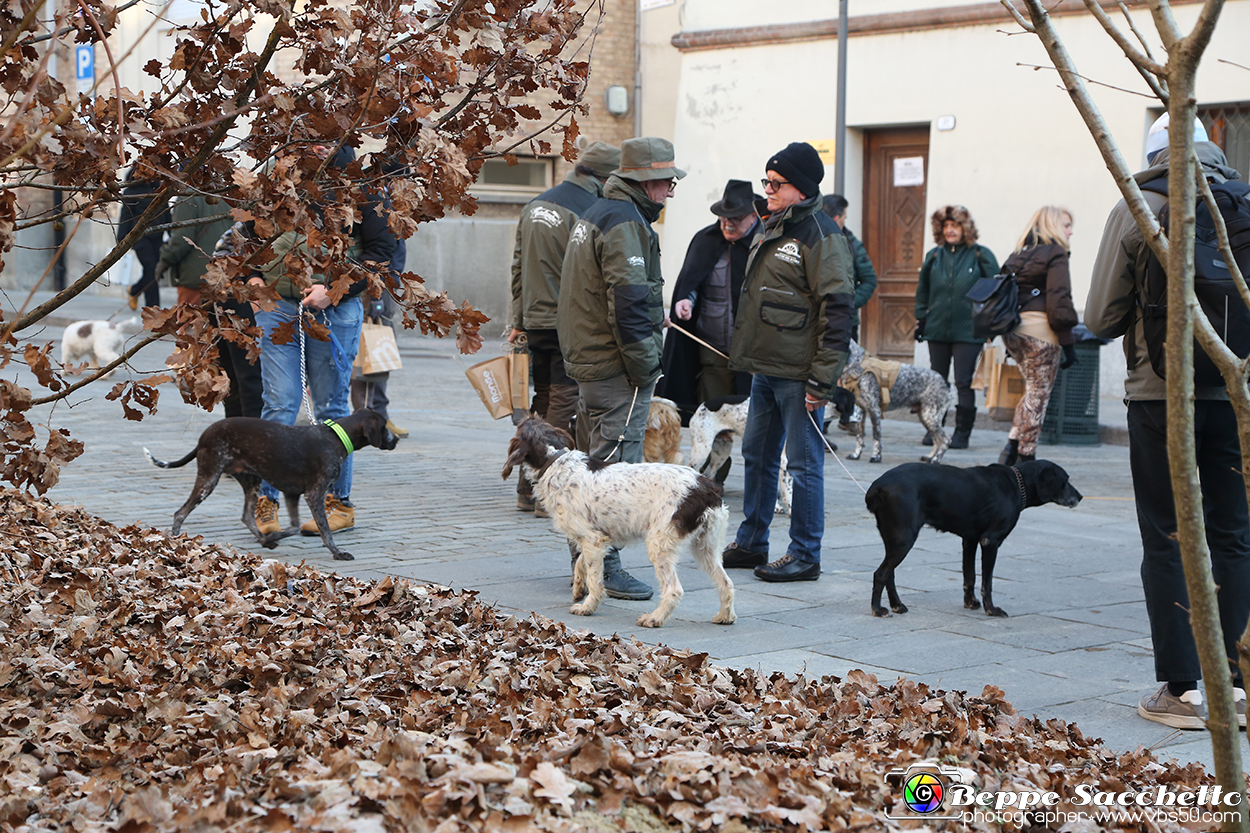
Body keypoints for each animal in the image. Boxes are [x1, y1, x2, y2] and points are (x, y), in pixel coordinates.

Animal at [142, 407, 397, 557]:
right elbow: (324, 530)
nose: (395, 440)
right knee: (180, 513)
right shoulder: (314, 494)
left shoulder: (293, 494)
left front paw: (271, 538)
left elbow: (294, 527)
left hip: (250, 481)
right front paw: (337, 552)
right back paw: (176, 541)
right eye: (384, 426)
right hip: (209, 478)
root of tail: (202, 437)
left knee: (246, 516)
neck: (335, 438)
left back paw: (264, 539)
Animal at [502, 417, 735, 625]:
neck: (556, 461)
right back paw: (725, 616)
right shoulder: (597, 539)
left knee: (673, 590)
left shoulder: (593, 538)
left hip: (660, 544)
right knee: (726, 582)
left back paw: (655, 618)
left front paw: (588, 606)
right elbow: (582, 562)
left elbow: (595, 581)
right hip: (706, 547)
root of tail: (705, 486)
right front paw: (578, 588)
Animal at [865, 460, 1080, 615]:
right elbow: (987, 582)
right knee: (880, 574)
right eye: (1066, 480)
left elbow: (970, 576)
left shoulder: (970, 540)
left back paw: (896, 605)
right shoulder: (990, 541)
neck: (1017, 485)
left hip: (894, 539)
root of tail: (878, 486)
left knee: (889, 574)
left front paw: (971, 603)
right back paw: (877, 609)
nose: (1080, 497)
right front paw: (991, 609)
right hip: (904, 539)